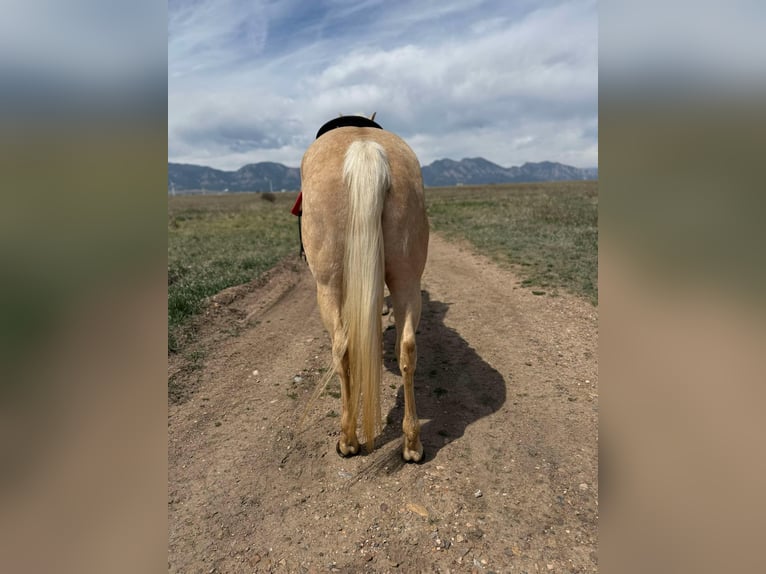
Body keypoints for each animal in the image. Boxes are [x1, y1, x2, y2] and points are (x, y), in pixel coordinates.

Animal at [300, 115, 429, 462]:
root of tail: (365, 148)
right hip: (407, 278)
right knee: (407, 347)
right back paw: (412, 444)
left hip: (327, 286)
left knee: (342, 349)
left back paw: (348, 440)